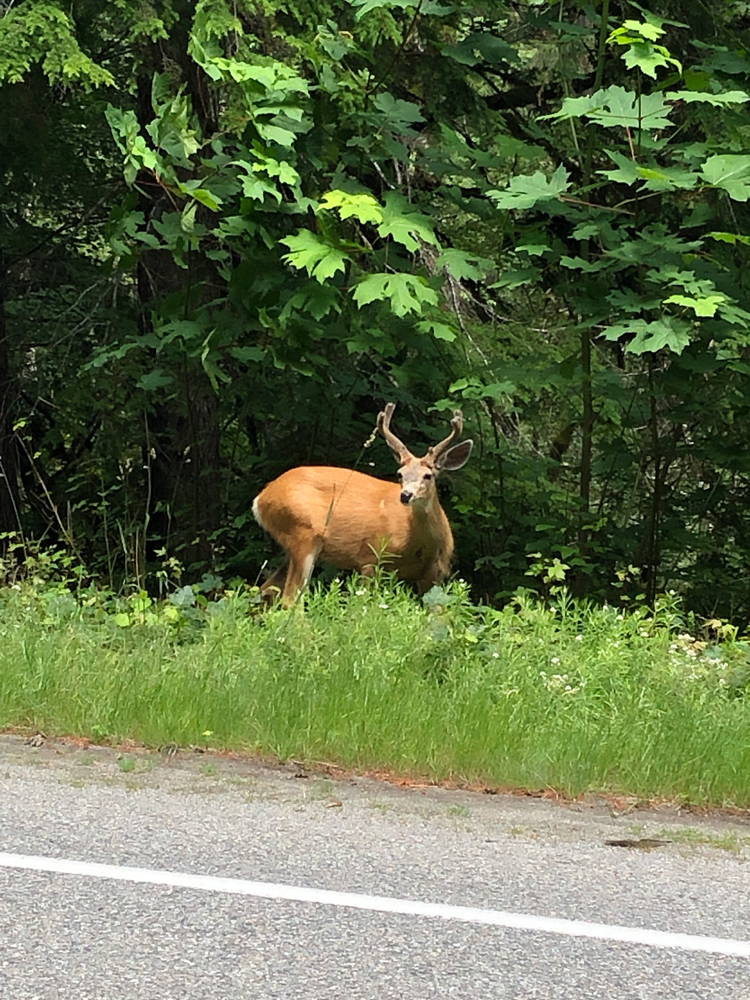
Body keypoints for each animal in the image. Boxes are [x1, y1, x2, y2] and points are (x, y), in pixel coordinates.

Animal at [256, 402, 472, 604]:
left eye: (428, 475)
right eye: (399, 474)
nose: (405, 495)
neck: (420, 545)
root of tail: (261, 497)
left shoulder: (436, 574)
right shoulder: (371, 558)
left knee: (265, 591)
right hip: (302, 532)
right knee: (290, 599)